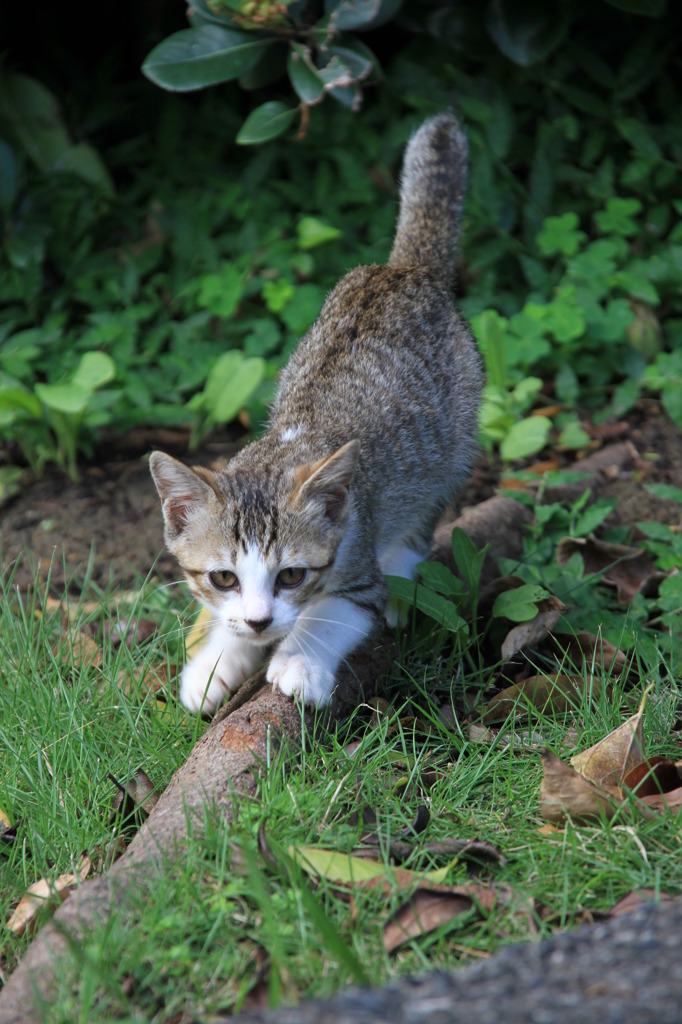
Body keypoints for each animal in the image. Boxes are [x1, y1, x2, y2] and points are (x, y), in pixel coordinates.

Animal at [150, 114, 477, 712]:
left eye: (292, 576)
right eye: (224, 578)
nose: (259, 622)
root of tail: (404, 270)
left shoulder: (358, 564)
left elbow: (338, 611)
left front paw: (300, 660)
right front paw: (216, 663)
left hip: (453, 437)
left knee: (424, 509)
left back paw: (404, 566)